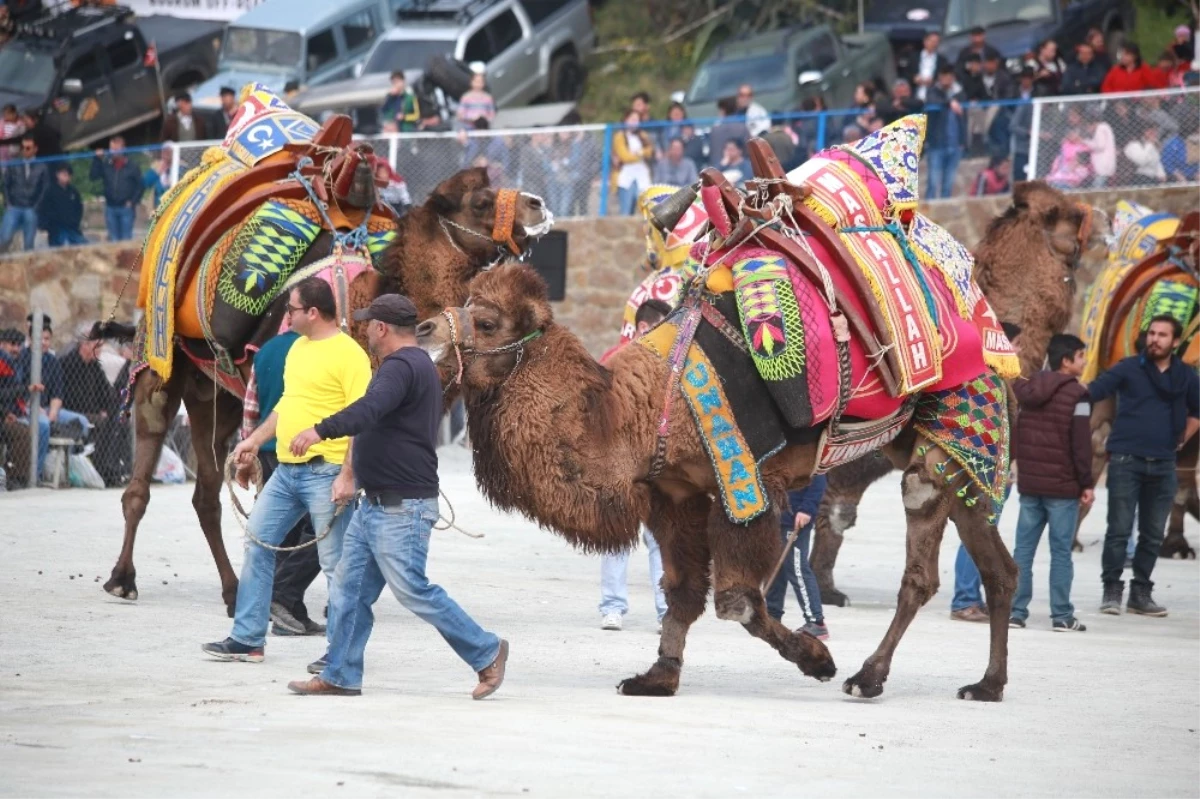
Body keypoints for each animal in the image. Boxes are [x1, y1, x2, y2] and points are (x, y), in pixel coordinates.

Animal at [105, 163, 549, 609]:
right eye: (481, 201)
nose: (537, 204)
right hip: (160, 364)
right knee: (141, 478)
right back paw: (122, 579)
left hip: (215, 394)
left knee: (207, 494)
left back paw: (232, 589)